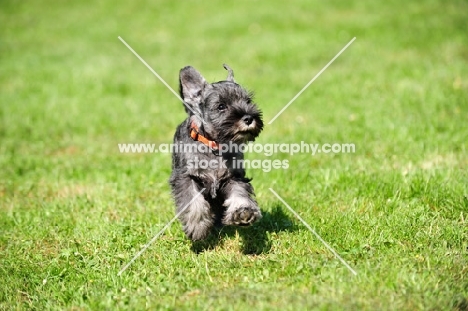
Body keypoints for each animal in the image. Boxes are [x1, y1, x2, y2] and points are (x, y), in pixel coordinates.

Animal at [169, 64, 264, 241]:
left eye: (248, 101)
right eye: (221, 106)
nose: (248, 118)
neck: (214, 146)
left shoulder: (233, 177)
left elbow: (239, 193)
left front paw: (243, 212)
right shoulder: (185, 177)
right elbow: (194, 201)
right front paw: (197, 227)